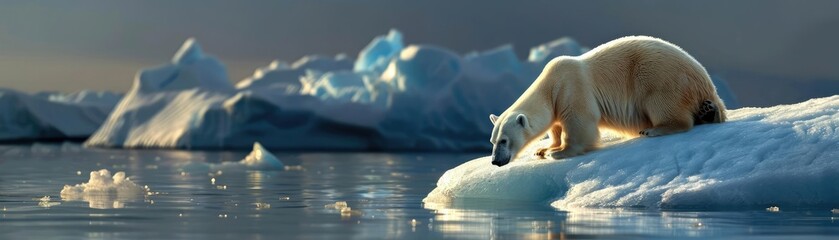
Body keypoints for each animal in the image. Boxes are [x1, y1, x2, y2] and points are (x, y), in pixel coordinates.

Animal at [488, 36, 724, 167]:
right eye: (492, 141)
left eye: (504, 141)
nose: (495, 161)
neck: (550, 84)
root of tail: (706, 81)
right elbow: (555, 126)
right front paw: (544, 149)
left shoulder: (572, 88)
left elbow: (580, 123)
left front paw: (560, 152)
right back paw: (707, 111)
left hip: (660, 75)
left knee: (663, 103)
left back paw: (653, 129)